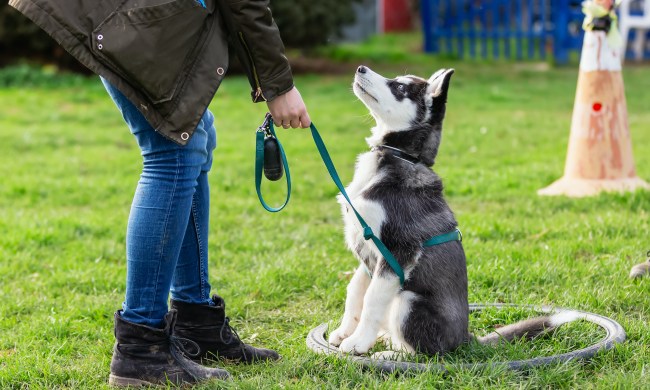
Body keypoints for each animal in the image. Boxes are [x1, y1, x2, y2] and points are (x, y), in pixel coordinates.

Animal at [330, 66, 576, 356]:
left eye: (399, 88)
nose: (361, 68)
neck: (399, 156)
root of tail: (465, 339)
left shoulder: (399, 251)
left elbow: (372, 298)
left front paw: (358, 342)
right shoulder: (368, 251)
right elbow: (355, 290)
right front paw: (344, 331)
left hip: (408, 301)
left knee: (425, 352)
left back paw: (389, 352)